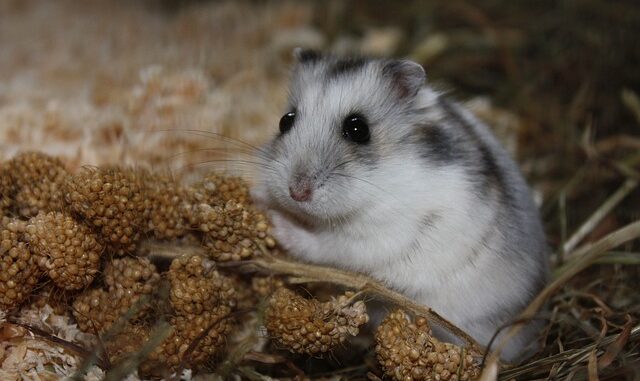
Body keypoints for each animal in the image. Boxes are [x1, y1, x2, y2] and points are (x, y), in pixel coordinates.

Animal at [252, 49, 548, 360]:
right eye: (285, 121)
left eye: (358, 128)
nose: (296, 192)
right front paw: (258, 197)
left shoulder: (374, 238)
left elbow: (321, 245)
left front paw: (276, 221)